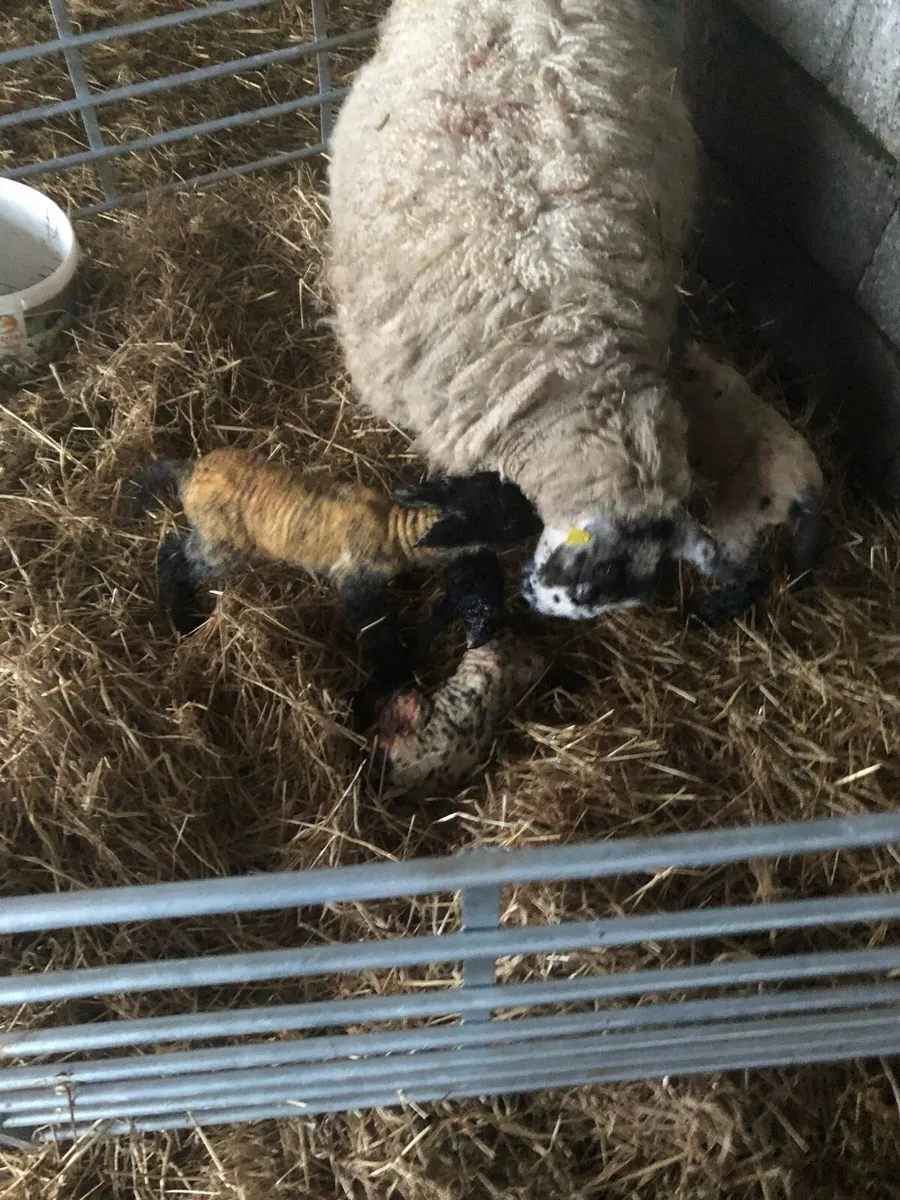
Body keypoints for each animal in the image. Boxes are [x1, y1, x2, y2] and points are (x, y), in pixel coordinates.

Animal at [132, 449, 541, 709]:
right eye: (507, 520)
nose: (542, 517)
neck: (395, 532)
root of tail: (189, 471)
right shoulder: (355, 588)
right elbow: (380, 632)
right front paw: (392, 666)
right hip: (222, 546)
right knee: (173, 558)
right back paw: (184, 620)